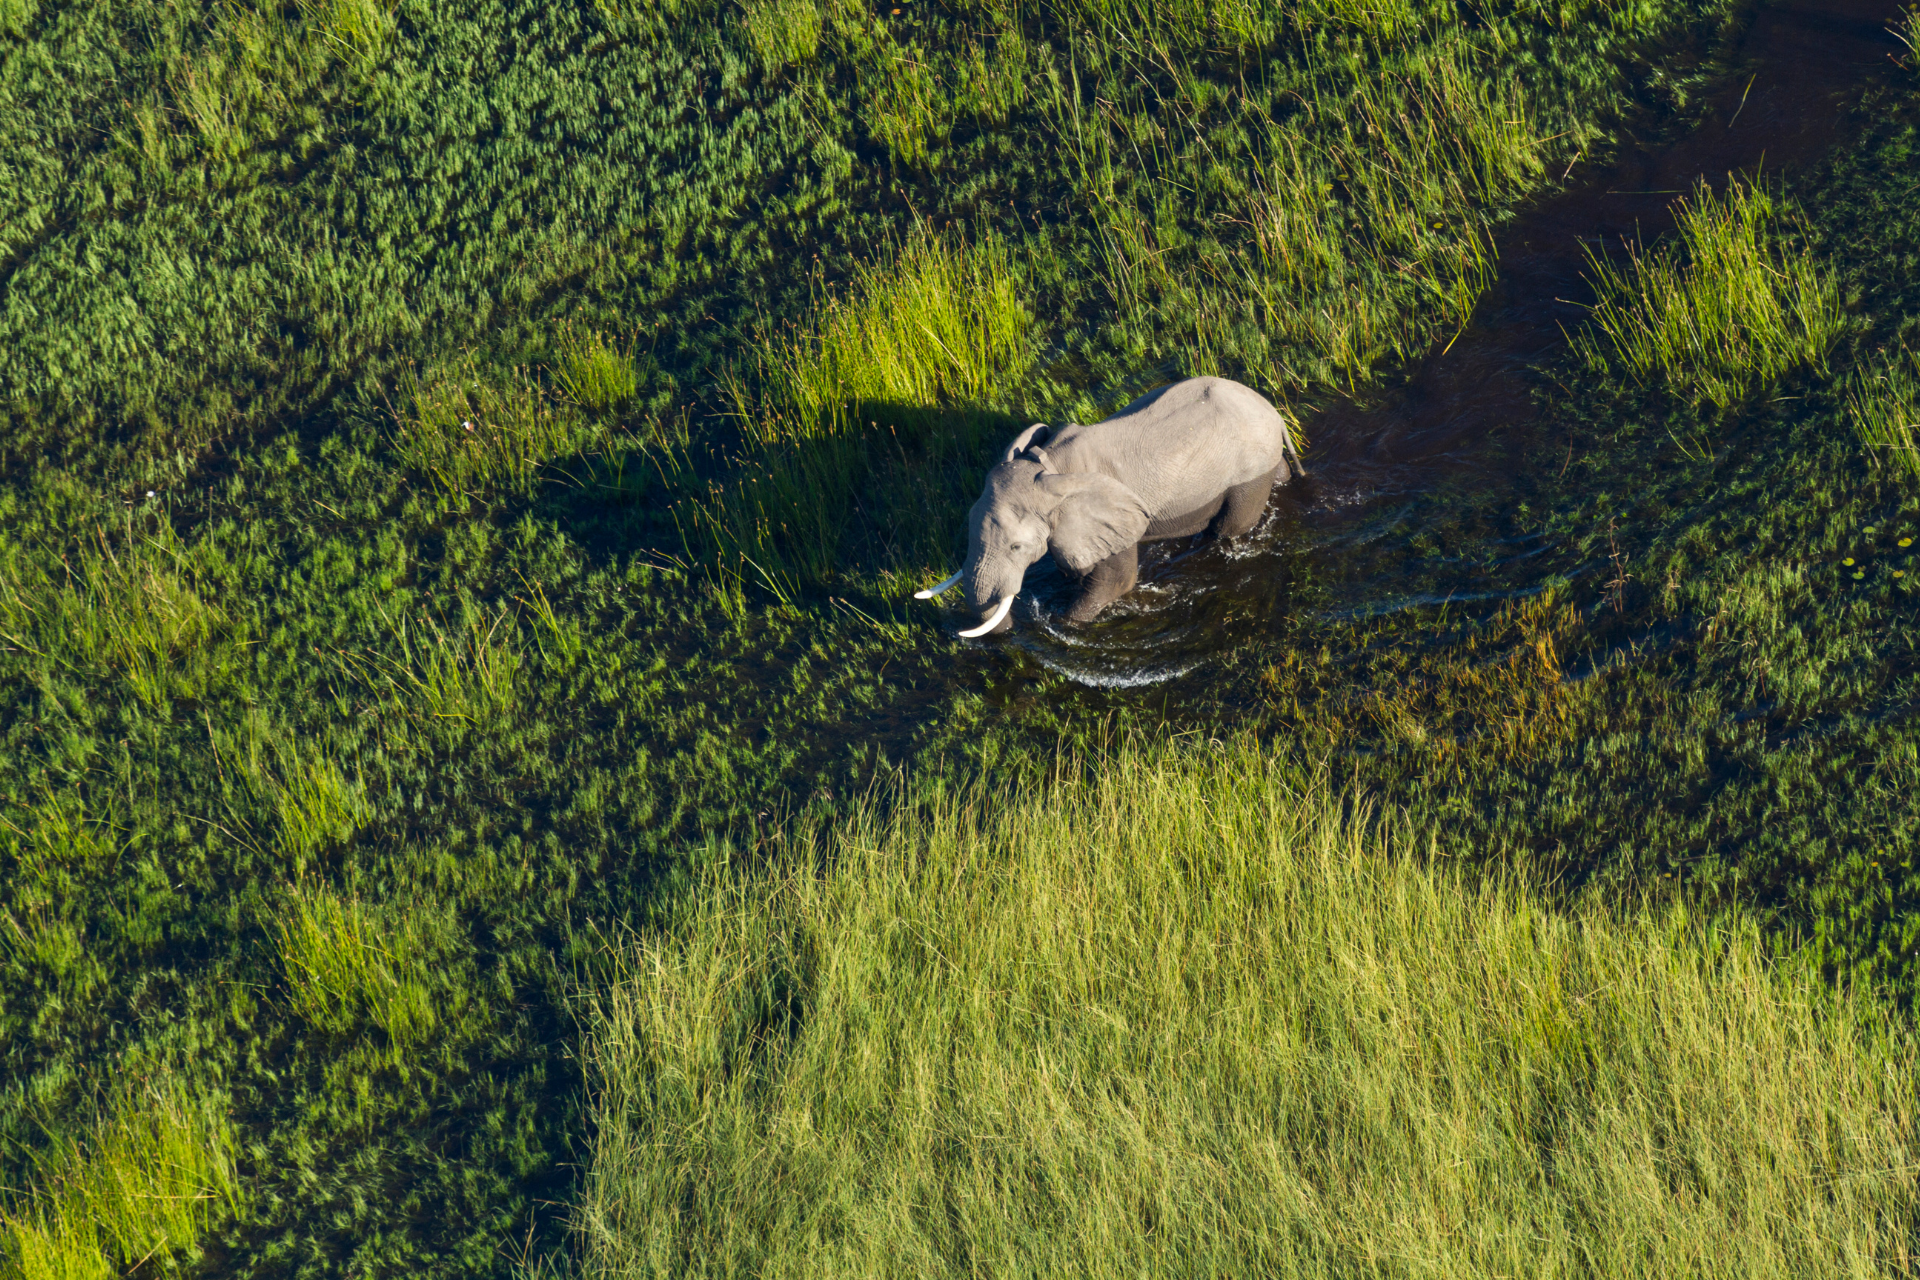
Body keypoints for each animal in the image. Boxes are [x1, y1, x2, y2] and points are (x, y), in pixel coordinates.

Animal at [915, 376, 1301, 636]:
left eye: (1016, 547)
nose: (1012, 632)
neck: (1050, 466)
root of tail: (1274, 412)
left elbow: (1116, 582)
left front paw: (1063, 625)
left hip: (1247, 473)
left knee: (1229, 528)